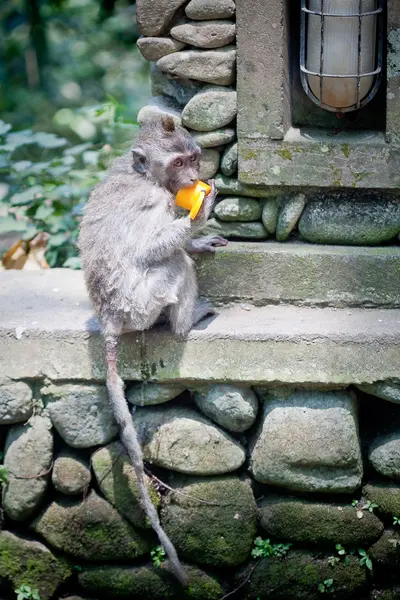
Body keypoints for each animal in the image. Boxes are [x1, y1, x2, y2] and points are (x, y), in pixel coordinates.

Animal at [78, 116, 228, 584]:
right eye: (178, 163)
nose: (195, 178)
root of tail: (109, 316)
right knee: (171, 263)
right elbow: (150, 248)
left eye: (193, 158)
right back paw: (185, 322)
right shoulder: (151, 200)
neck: (146, 176)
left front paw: (200, 237)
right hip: (141, 304)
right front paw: (201, 213)